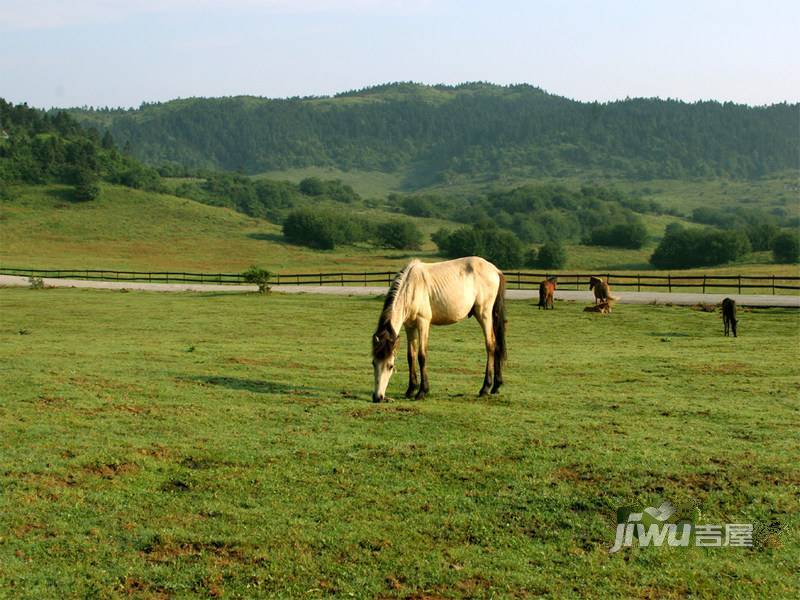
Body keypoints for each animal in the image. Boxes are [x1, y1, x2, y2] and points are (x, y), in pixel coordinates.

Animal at [370, 258, 506, 404]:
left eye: (390, 366)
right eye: (373, 363)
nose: (378, 397)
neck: (411, 286)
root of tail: (495, 270)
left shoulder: (423, 323)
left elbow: (421, 356)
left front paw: (422, 392)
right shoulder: (409, 327)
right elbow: (411, 356)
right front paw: (411, 390)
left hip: (484, 314)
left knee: (490, 344)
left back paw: (485, 388)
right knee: (497, 345)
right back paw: (496, 386)